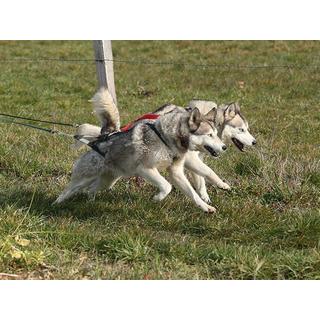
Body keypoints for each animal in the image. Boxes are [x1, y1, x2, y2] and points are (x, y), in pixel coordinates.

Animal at [53, 89, 226, 212]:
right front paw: (157, 198)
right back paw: (55, 204)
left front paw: (206, 207)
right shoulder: (145, 169)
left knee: (91, 189)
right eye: (209, 135)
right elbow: (167, 186)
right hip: (84, 178)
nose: (225, 147)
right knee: (68, 190)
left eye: (216, 133)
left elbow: (193, 193)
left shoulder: (176, 172)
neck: (167, 139)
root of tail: (101, 139)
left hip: (107, 181)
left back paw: (90, 202)